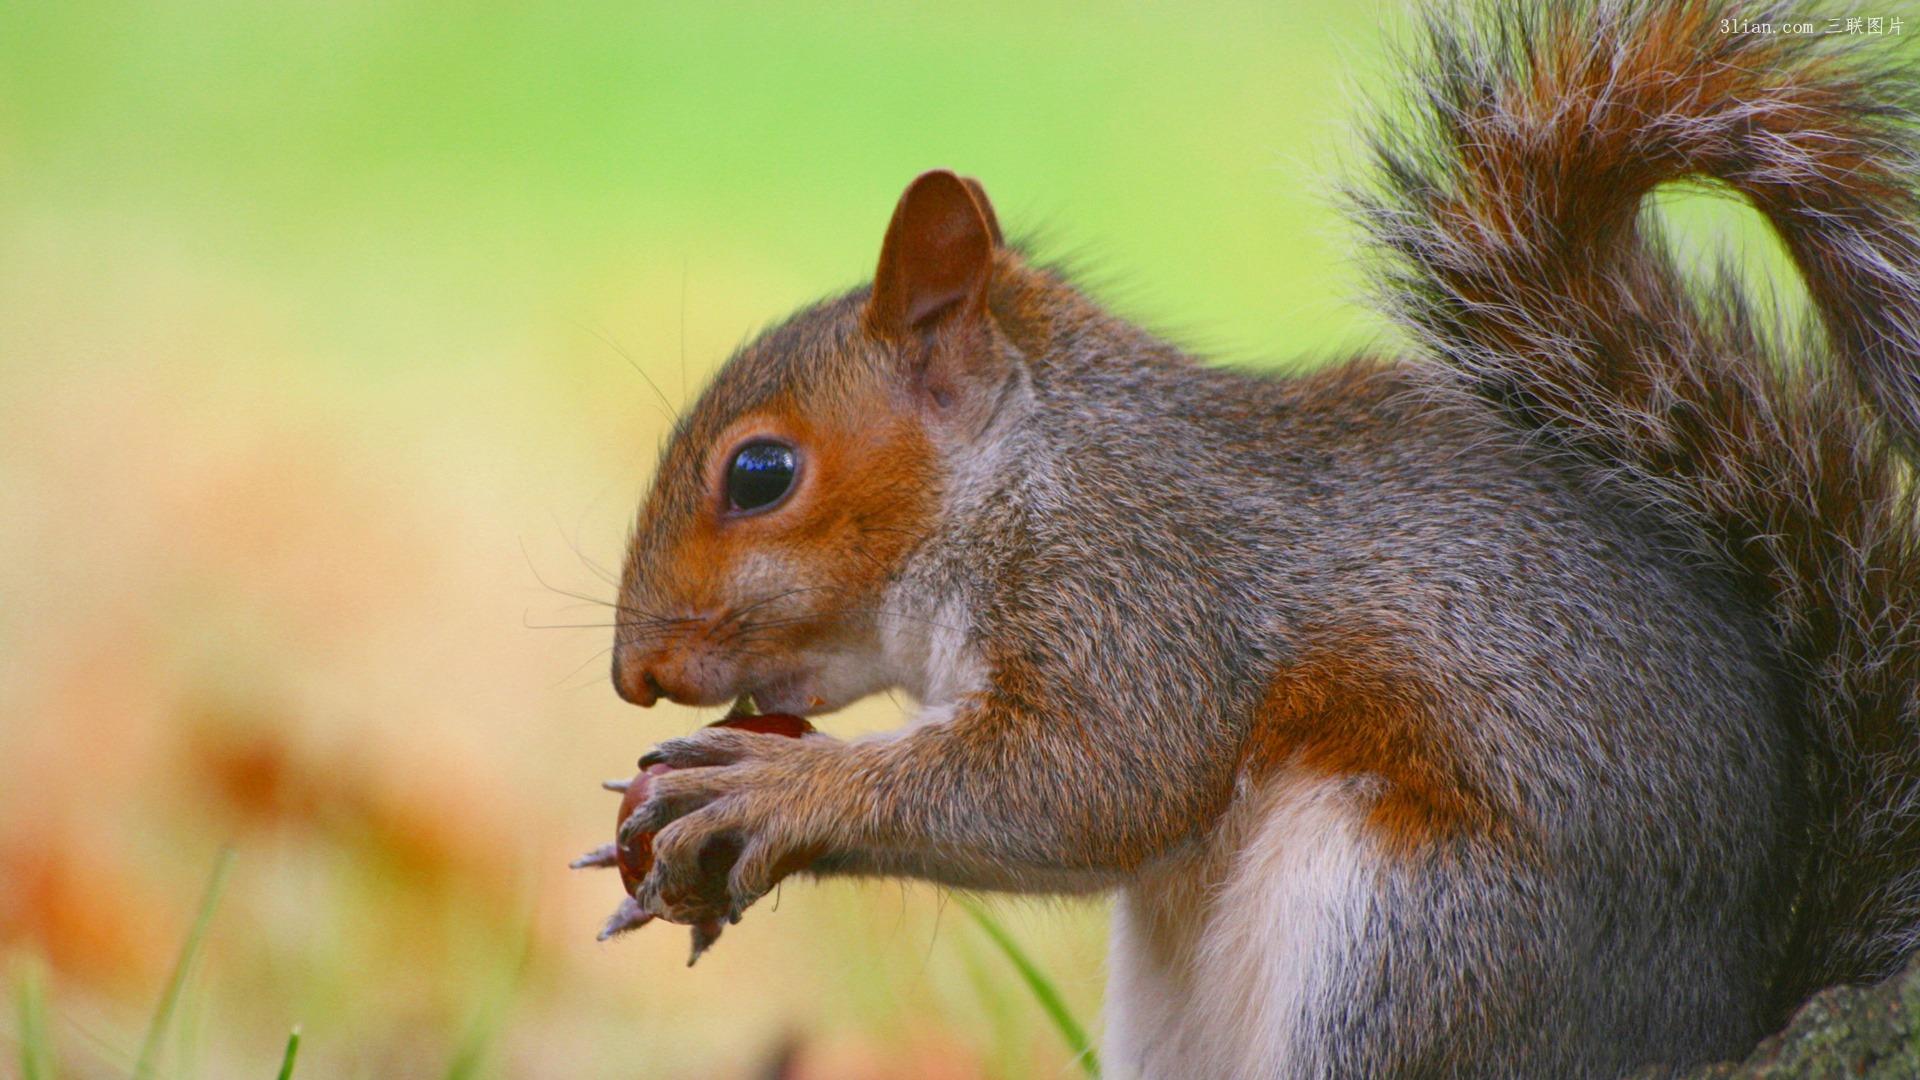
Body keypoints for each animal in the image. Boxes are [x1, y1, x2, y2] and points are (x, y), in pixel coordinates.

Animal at [579, 4, 1920, 1068]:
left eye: (760, 474)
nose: (633, 674)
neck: (1028, 464)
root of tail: (1727, 1016)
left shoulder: (1145, 582)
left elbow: (1100, 777)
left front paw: (772, 788)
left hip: (1417, 941)